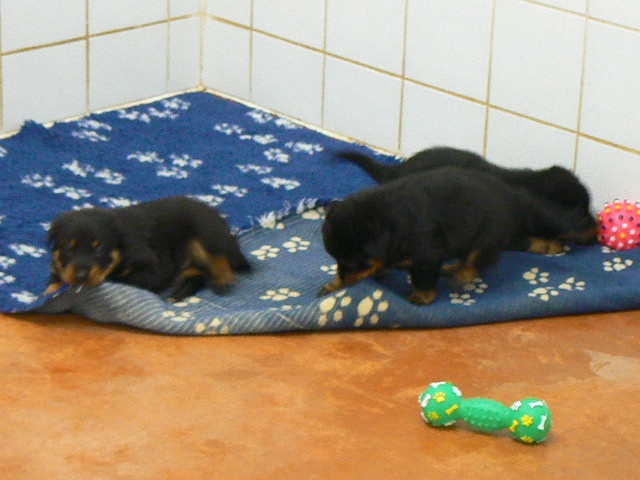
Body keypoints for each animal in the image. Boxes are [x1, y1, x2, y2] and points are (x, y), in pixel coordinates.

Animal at [45, 196, 251, 299]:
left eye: (99, 249)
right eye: (68, 248)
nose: (81, 276)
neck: (121, 248)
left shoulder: (153, 267)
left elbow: (123, 279)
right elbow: (54, 281)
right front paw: (50, 291)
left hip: (204, 232)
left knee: (221, 256)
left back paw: (223, 278)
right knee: (200, 272)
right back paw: (181, 288)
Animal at [319, 167, 595, 305]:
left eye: (356, 262)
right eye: (336, 258)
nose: (345, 278)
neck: (388, 222)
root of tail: (513, 195)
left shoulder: (426, 255)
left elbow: (423, 279)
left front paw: (421, 297)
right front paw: (334, 284)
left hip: (487, 233)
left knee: (477, 259)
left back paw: (461, 273)